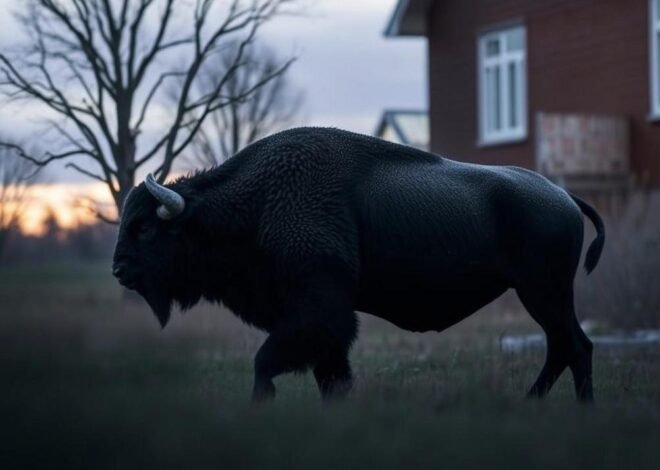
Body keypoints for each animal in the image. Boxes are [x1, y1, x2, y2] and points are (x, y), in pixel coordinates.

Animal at [112, 127, 604, 402]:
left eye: (145, 228)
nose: (118, 270)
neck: (257, 203)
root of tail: (563, 196)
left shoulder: (318, 314)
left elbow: (266, 362)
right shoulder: (323, 328)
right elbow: (331, 376)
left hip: (543, 293)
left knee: (575, 347)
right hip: (543, 296)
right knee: (564, 348)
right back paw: (533, 404)